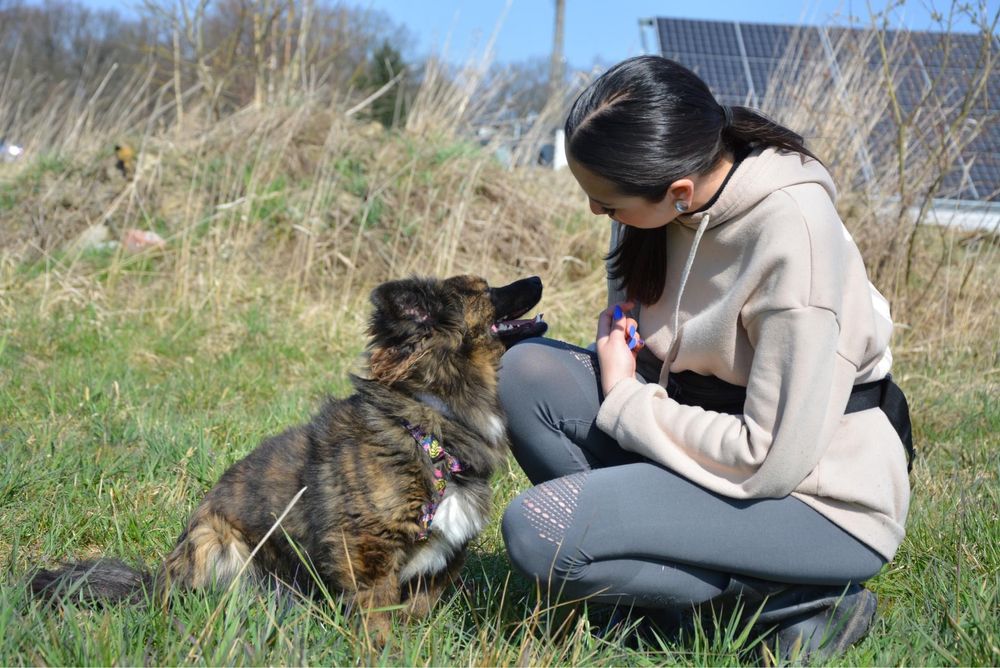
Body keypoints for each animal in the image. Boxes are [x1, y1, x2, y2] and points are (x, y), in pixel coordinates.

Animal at [29, 272, 548, 640]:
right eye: (484, 290)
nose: (539, 279)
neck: (429, 425)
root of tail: (153, 584)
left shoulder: (441, 557)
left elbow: (416, 611)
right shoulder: (366, 548)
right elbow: (377, 613)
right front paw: (382, 651)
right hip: (215, 544)